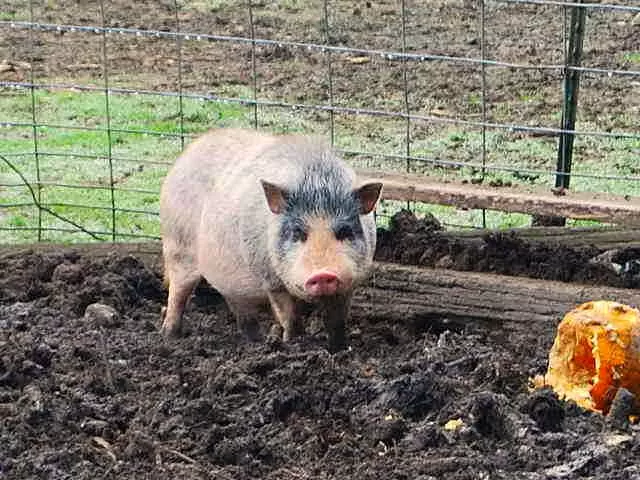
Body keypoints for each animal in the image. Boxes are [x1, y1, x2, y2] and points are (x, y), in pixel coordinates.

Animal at [158, 129, 382, 350]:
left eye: (345, 231)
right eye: (297, 233)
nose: (323, 274)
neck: (317, 184)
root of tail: (185, 155)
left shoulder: (350, 284)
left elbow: (337, 322)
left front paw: (339, 349)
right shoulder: (271, 280)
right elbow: (289, 316)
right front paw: (293, 342)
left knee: (241, 311)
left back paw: (256, 342)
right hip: (178, 246)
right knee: (177, 293)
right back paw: (170, 335)